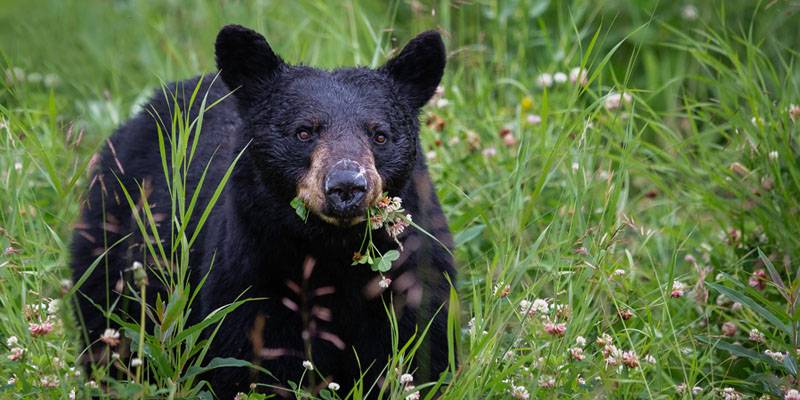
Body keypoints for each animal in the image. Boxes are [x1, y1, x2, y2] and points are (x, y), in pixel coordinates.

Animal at [70, 24, 456, 396]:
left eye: (379, 135)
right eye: (304, 132)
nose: (347, 185)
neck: (331, 252)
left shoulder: (413, 275)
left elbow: (422, 353)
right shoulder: (251, 276)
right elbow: (252, 364)